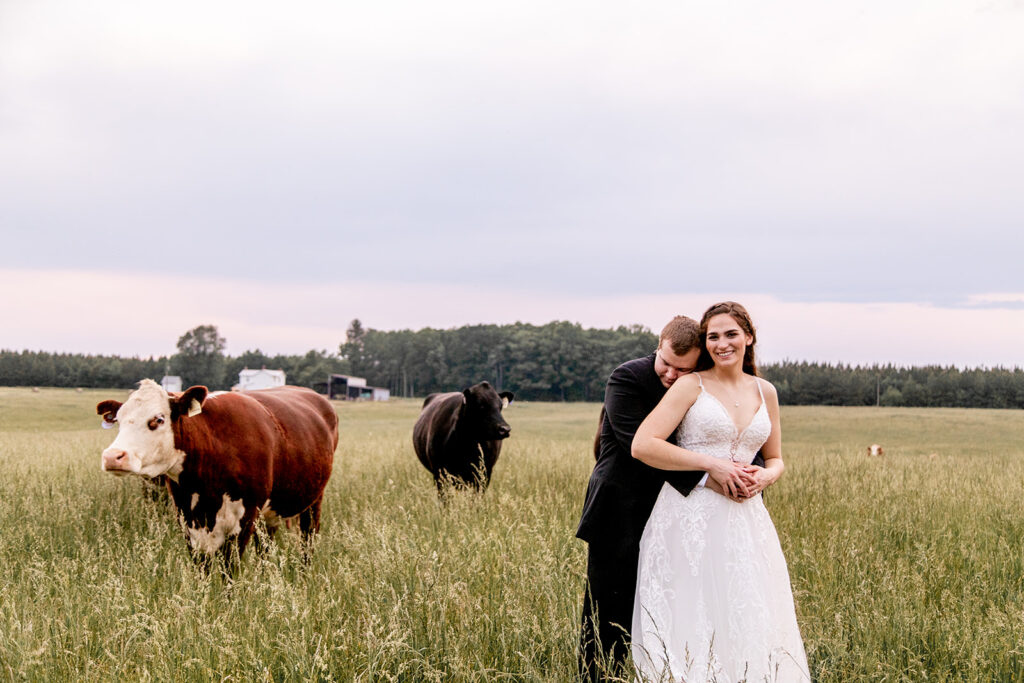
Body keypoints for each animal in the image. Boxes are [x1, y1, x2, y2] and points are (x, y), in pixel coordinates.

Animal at [96, 378, 337, 565]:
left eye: (158, 419)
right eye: (118, 420)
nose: (112, 456)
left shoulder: (243, 521)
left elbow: (228, 569)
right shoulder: (187, 519)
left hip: (313, 503)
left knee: (307, 544)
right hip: (269, 512)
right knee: (265, 549)